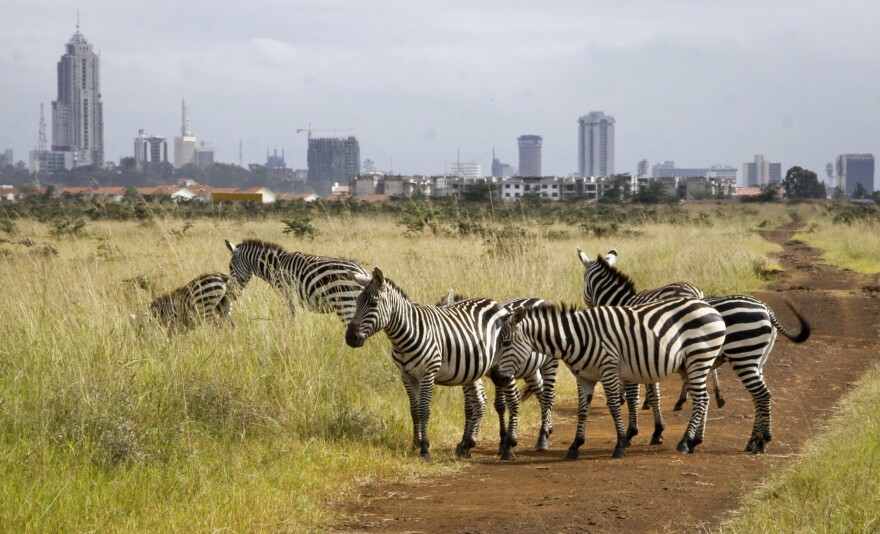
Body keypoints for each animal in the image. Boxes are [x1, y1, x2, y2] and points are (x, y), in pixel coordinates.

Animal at [227, 241, 368, 324]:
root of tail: (362, 272)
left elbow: (291, 313)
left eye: (230, 267)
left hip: (346, 303)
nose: (231, 295)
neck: (276, 266)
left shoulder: (284, 291)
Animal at [346, 270, 508, 462]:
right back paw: (466, 445)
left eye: (373, 303)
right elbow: (414, 410)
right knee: (479, 401)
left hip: (501, 365)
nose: (350, 338)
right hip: (473, 369)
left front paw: (424, 448)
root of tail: (493, 302)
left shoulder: (427, 373)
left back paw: (504, 445)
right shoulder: (406, 375)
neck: (405, 336)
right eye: (357, 302)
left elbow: (423, 410)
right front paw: (415, 443)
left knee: (505, 400)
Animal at [438, 292, 556, 454]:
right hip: (531, 371)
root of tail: (541, 299)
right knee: (542, 394)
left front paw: (504, 442)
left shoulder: (504, 371)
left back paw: (543, 437)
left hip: (549, 362)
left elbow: (501, 404)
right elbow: (471, 406)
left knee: (548, 396)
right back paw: (547, 429)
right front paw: (464, 442)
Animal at [496, 300, 728, 458]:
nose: (498, 378)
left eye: (505, 343)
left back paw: (684, 442)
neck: (576, 338)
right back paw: (695, 441)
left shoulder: (608, 369)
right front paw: (575, 445)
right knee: (704, 399)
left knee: (700, 400)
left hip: (699, 358)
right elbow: (583, 411)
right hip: (687, 365)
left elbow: (615, 406)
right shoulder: (584, 377)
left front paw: (620, 445)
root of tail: (710, 308)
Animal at [576, 249, 812, 454]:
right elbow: (655, 395)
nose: (586, 307)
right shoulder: (648, 359)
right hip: (756, 359)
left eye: (583, 280)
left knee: (761, 395)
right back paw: (753, 440)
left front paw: (632, 433)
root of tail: (766, 309)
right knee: (759, 397)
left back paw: (760, 442)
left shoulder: (635, 358)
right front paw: (657, 432)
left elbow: (636, 397)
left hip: (742, 355)